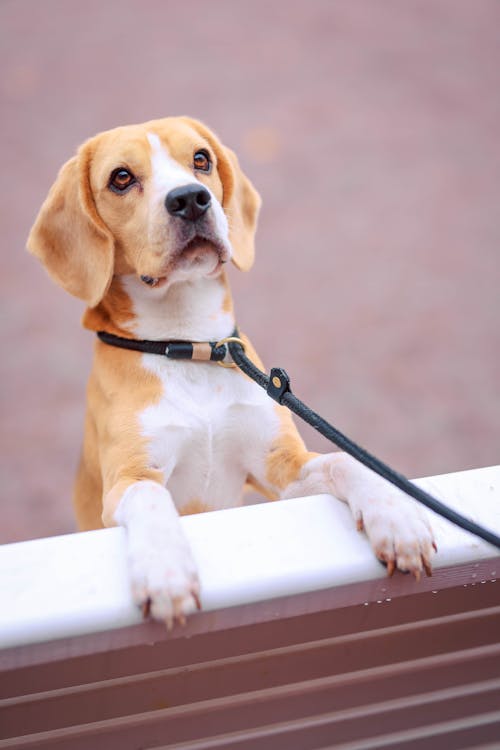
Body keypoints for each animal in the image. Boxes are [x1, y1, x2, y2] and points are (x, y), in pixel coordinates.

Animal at [27, 116, 436, 628]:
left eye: (200, 159)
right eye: (120, 177)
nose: (189, 198)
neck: (190, 345)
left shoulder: (281, 469)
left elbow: (344, 460)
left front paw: (396, 517)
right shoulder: (129, 479)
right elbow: (152, 501)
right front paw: (165, 570)